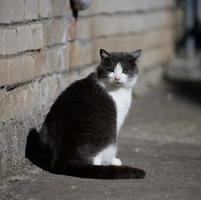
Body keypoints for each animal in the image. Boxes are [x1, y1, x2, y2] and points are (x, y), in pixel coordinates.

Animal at [25, 48, 146, 180]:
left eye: (125, 70)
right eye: (111, 70)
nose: (117, 78)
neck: (116, 90)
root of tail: (62, 157)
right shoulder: (117, 120)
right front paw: (113, 160)